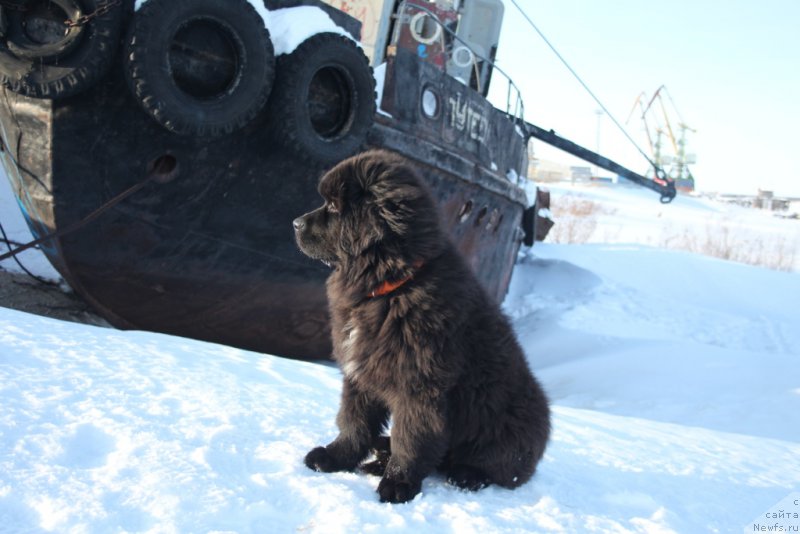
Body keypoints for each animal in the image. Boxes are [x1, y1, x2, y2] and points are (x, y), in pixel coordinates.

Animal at [294, 150, 552, 502]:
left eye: (334, 206)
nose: (295, 223)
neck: (392, 285)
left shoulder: (420, 385)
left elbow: (411, 436)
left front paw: (398, 485)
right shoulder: (359, 373)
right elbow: (353, 420)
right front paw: (335, 457)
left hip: (512, 427)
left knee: (496, 468)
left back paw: (465, 475)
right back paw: (380, 454)